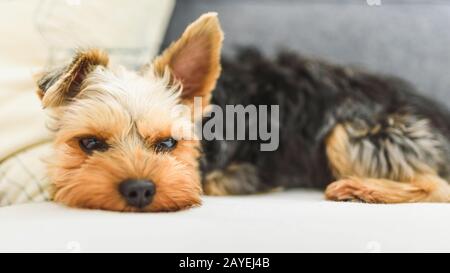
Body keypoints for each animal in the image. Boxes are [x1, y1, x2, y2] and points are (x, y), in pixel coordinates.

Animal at [34, 12, 450, 211]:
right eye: (89, 143)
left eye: (167, 144)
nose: (138, 190)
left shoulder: (238, 175)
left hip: (351, 131)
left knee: (438, 186)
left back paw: (361, 188)